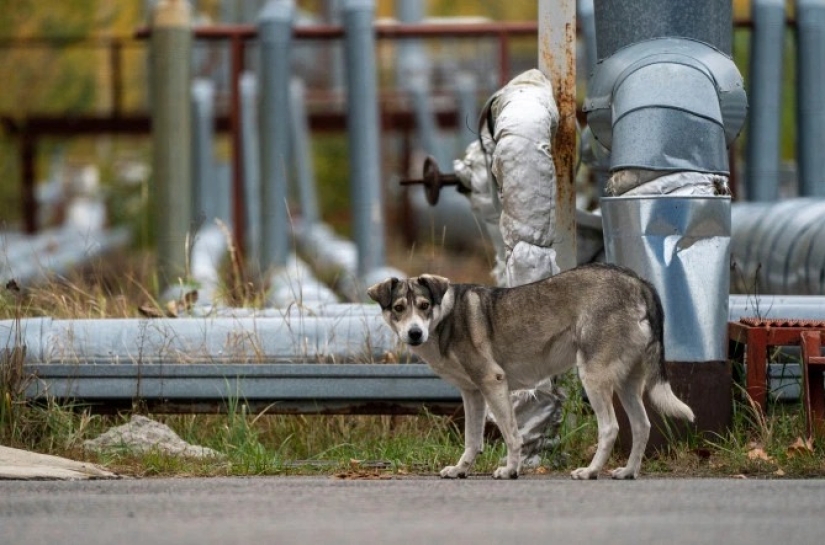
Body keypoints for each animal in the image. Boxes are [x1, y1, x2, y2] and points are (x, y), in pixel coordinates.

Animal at [368, 264, 696, 480]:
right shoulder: (473, 394)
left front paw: (510, 470)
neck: (445, 318)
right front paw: (461, 470)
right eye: (399, 308)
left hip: (594, 378)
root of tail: (639, 281)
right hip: (626, 384)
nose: (414, 333)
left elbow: (512, 435)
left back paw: (590, 471)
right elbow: (473, 440)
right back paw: (628, 472)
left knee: (610, 428)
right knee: (642, 426)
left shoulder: (493, 383)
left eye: (424, 305)